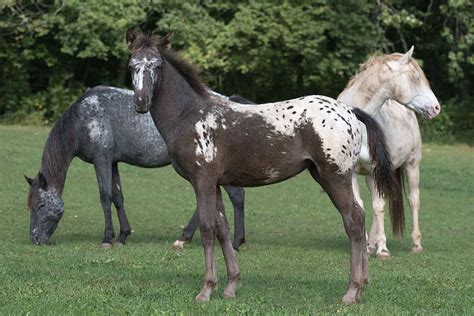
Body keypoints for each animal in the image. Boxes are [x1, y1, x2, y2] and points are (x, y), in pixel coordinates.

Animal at [124, 29, 416, 304]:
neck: (190, 116)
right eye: (132, 65)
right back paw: (361, 288)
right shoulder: (215, 184)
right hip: (326, 176)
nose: (140, 102)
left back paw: (351, 292)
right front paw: (230, 286)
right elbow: (222, 229)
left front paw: (206, 290)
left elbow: (207, 230)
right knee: (359, 217)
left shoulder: (202, 181)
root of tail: (350, 112)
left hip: (336, 176)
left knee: (353, 221)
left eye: (157, 65)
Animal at [336, 47, 440, 260]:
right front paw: (366, 245)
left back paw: (415, 244)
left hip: (411, 165)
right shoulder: (352, 171)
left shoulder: (378, 168)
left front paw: (382, 249)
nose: (436, 108)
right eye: (416, 78)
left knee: (413, 200)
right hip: (372, 175)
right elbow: (361, 205)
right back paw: (371, 243)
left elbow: (379, 206)